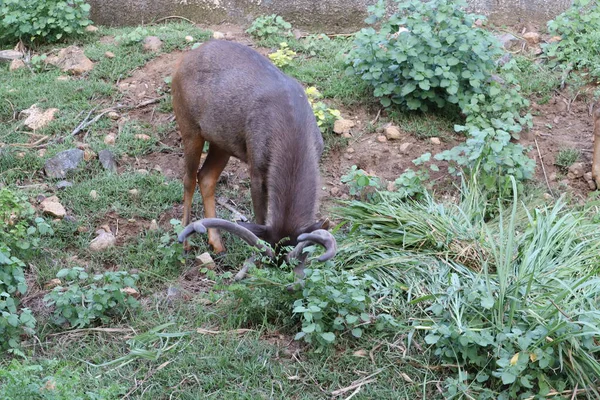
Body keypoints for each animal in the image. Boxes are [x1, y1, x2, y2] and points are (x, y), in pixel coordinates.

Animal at [171, 39, 336, 278]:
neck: (292, 130)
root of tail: (182, 61)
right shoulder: (256, 166)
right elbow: (260, 217)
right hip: (189, 126)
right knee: (189, 178)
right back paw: (185, 244)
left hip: (222, 142)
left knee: (206, 176)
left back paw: (217, 244)